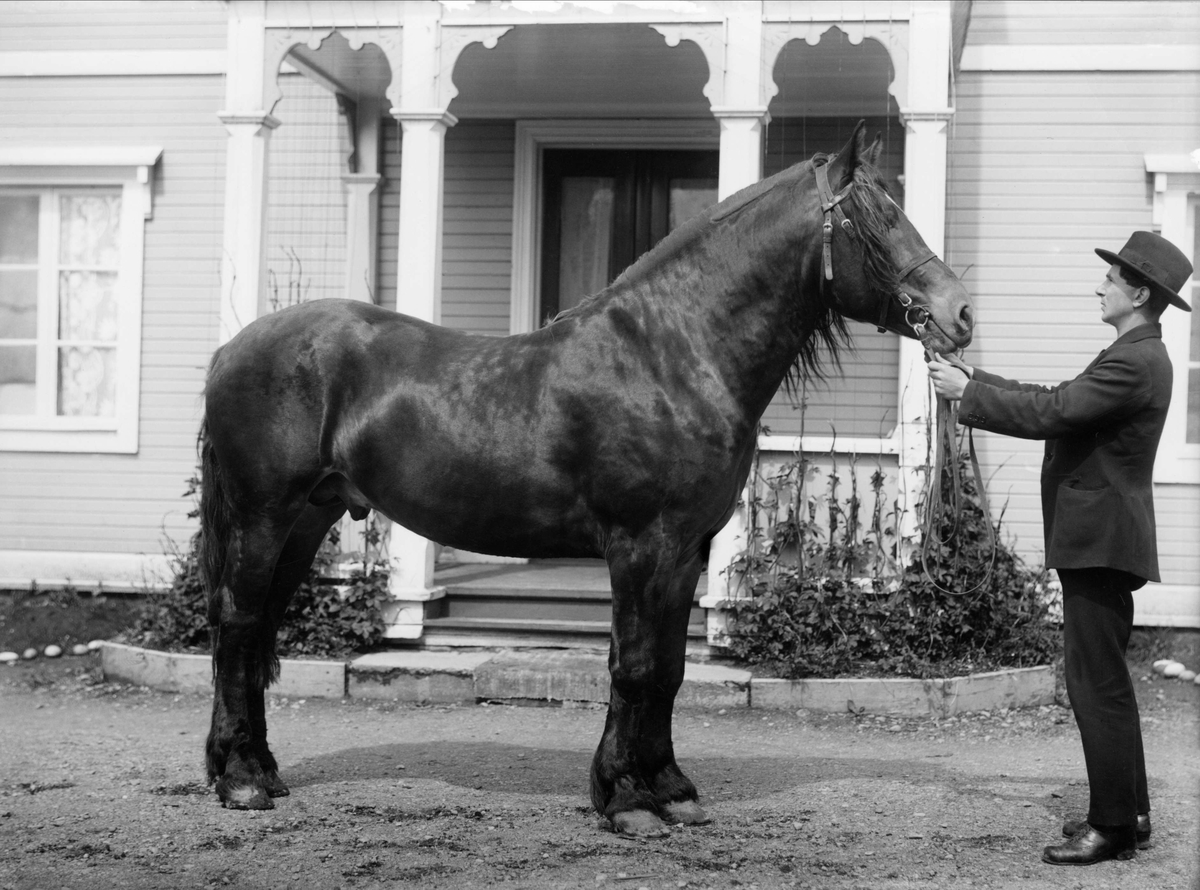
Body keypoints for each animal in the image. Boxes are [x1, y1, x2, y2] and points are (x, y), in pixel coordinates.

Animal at [194, 121, 964, 839]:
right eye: (875, 218)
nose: (958, 313)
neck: (673, 354)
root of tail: (232, 347)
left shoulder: (686, 550)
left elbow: (668, 669)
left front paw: (671, 788)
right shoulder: (639, 545)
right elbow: (634, 667)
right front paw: (626, 800)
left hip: (307, 520)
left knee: (257, 629)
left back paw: (261, 770)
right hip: (265, 516)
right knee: (238, 623)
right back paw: (240, 781)